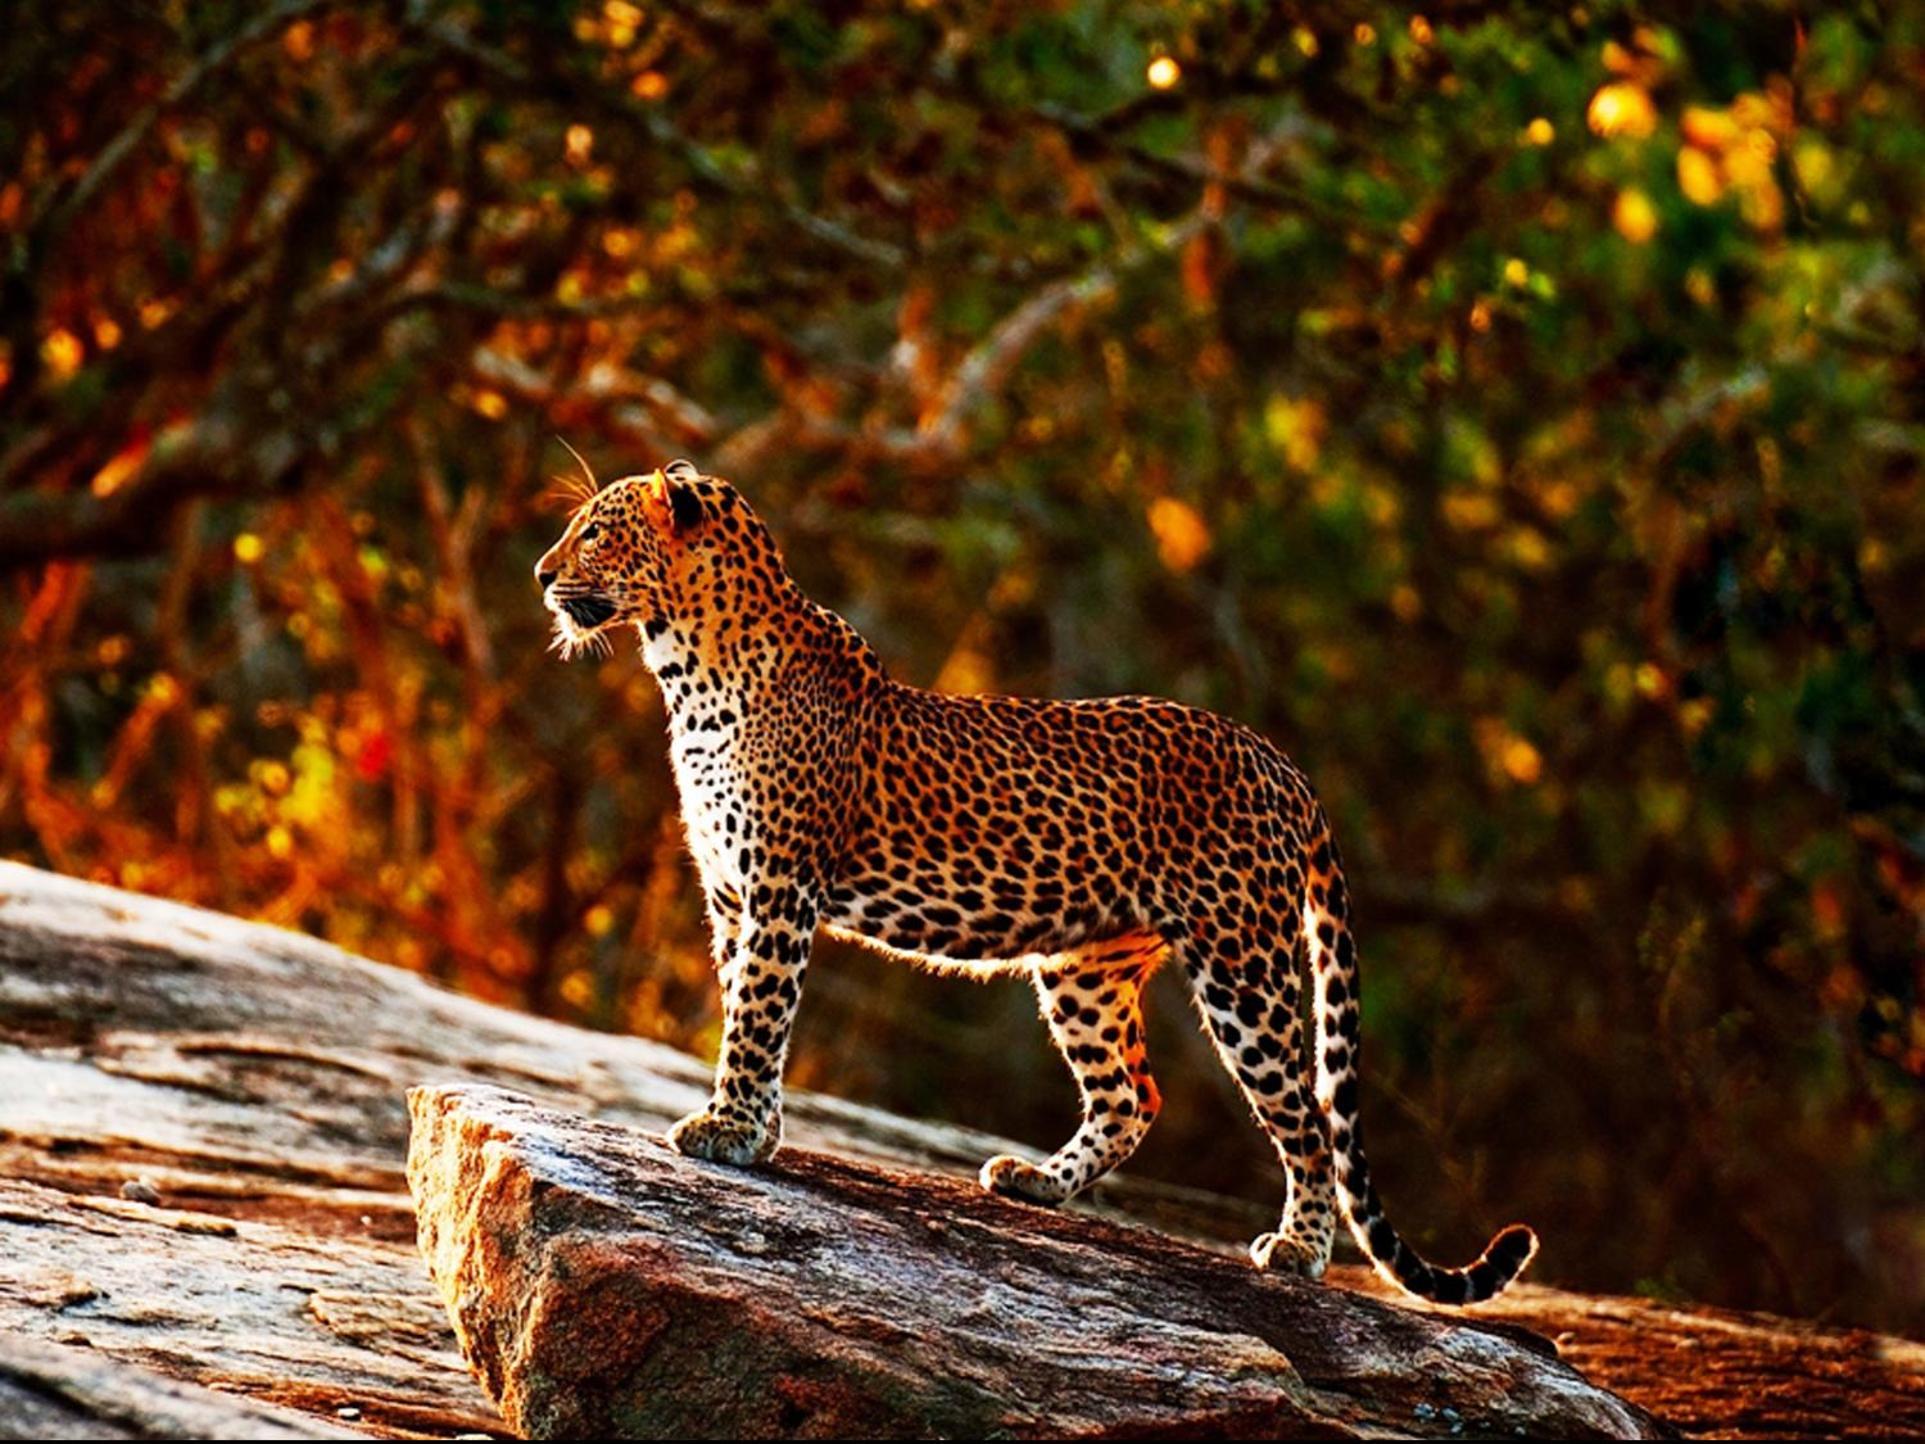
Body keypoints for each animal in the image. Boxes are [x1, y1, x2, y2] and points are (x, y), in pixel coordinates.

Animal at [535, 458, 1540, 1309]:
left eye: (594, 533)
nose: (542, 575)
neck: (687, 671)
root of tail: (1281, 762)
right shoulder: (729, 896)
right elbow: (749, 1009)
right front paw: (758, 1128)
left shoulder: (779, 889)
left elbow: (754, 1016)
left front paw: (729, 1131)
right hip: (1084, 969)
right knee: (1133, 1097)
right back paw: (1037, 1183)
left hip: (1242, 967)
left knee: (1310, 1117)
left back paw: (1297, 1250)